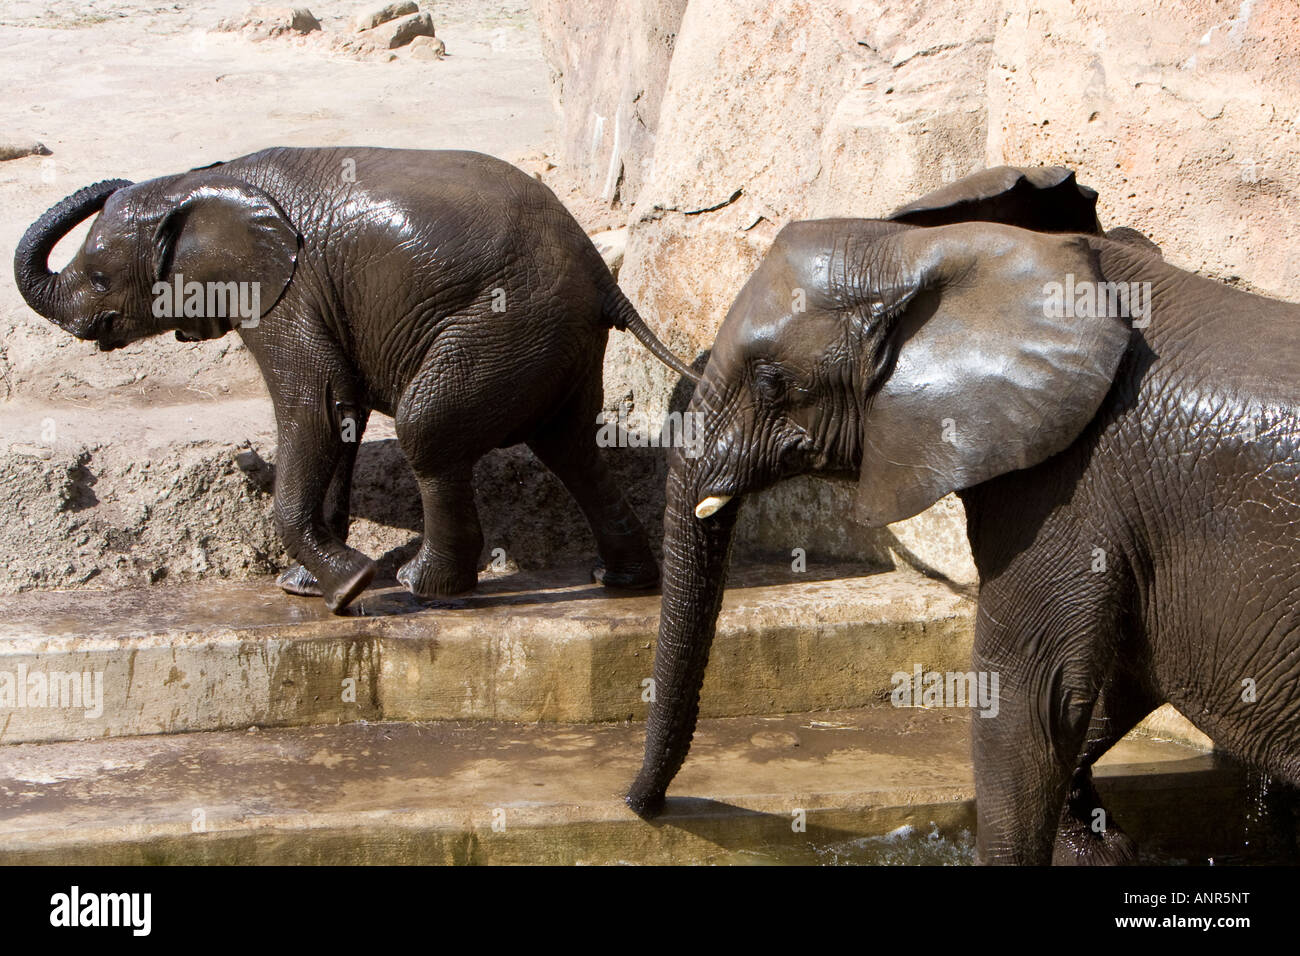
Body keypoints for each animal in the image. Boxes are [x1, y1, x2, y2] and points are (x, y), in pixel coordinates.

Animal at [15, 147, 698, 612]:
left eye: (100, 277)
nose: (243, 460)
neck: (201, 183)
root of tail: (602, 275)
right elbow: (339, 414)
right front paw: (305, 589)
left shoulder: (286, 291)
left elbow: (314, 403)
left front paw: (350, 588)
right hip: (553, 341)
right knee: (570, 447)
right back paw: (622, 582)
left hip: (505, 325)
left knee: (430, 433)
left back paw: (422, 589)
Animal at [625, 166, 1300, 865]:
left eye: (769, 381)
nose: (645, 806)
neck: (927, 252)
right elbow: (1118, 677)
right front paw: (1097, 845)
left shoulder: (1069, 487)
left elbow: (1034, 696)